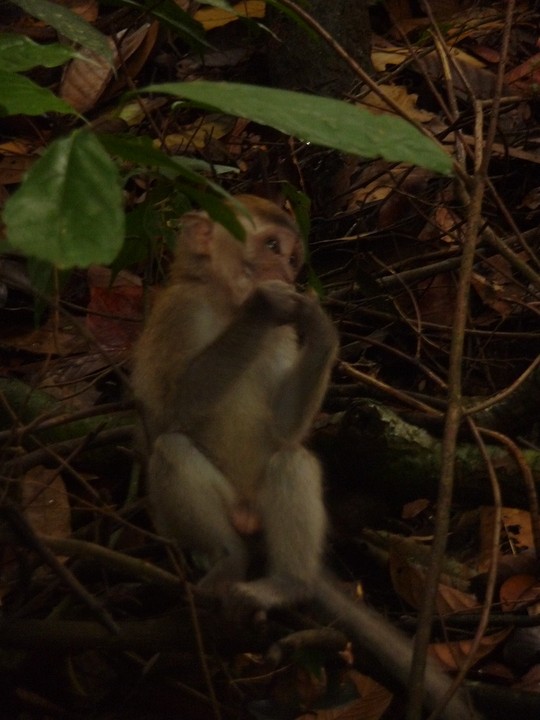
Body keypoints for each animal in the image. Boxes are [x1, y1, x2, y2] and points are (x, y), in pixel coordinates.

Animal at [131, 195, 477, 719]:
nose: (287, 274)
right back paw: (230, 560)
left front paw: (322, 328)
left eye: (294, 259)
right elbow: (168, 415)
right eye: (272, 246)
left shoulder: (282, 339)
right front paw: (262, 306)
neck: (223, 305)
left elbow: (284, 429)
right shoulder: (177, 312)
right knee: (172, 452)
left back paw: (288, 583)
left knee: (291, 459)